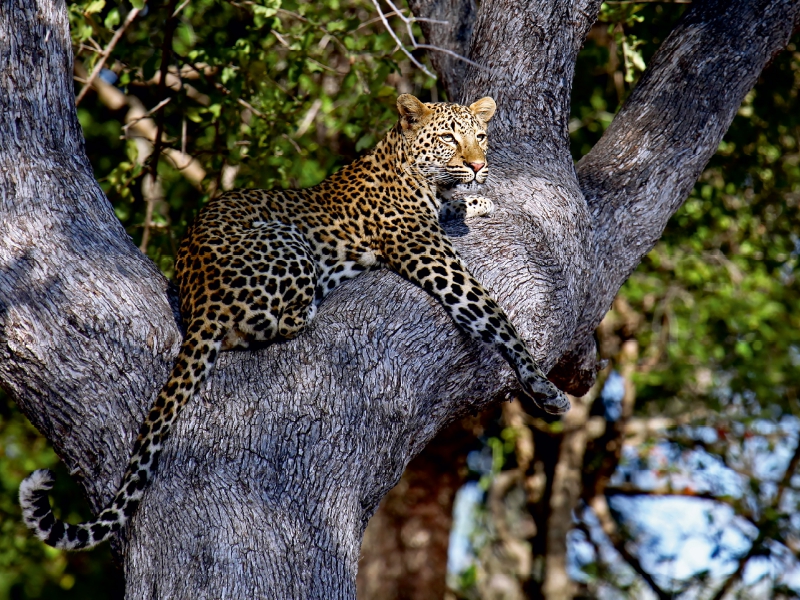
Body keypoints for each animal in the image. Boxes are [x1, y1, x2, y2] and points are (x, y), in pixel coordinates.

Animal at [18, 92, 568, 548]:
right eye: (451, 138)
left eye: (481, 136)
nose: (478, 166)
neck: (407, 164)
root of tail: (199, 299)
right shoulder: (432, 259)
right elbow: (496, 316)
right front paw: (544, 388)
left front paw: (476, 198)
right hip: (291, 245)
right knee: (274, 324)